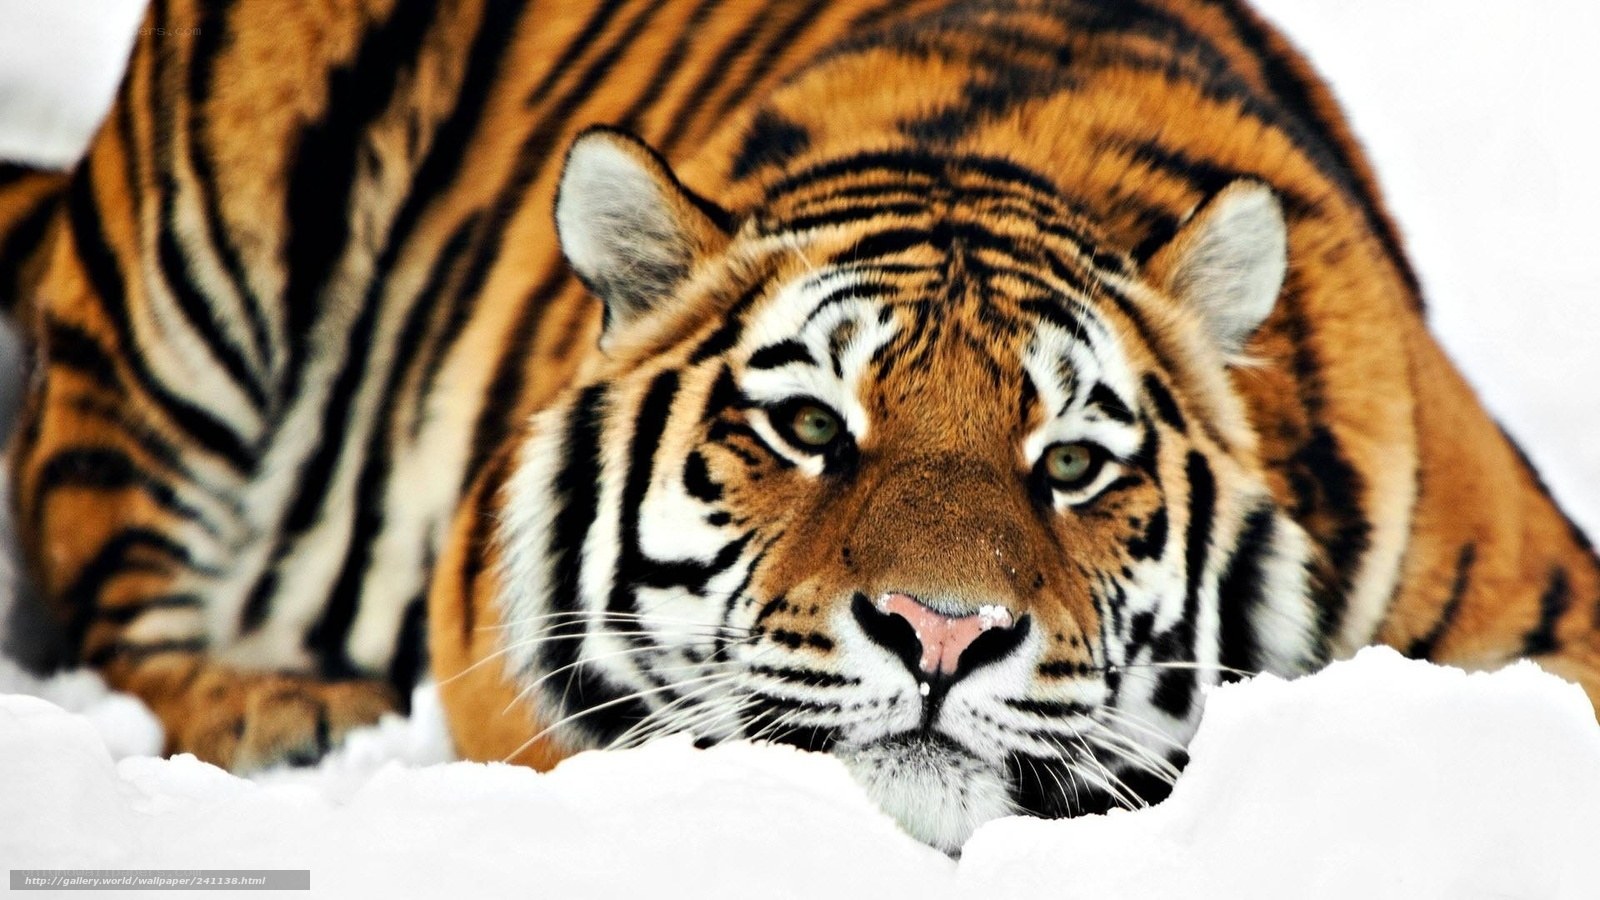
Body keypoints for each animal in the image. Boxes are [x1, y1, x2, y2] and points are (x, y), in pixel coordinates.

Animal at [1, 0, 1596, 852]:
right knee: (113, 586)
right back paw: (281, 711)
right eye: (811, 426)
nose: (942, 633)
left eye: (1074, 463)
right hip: (190, 276)